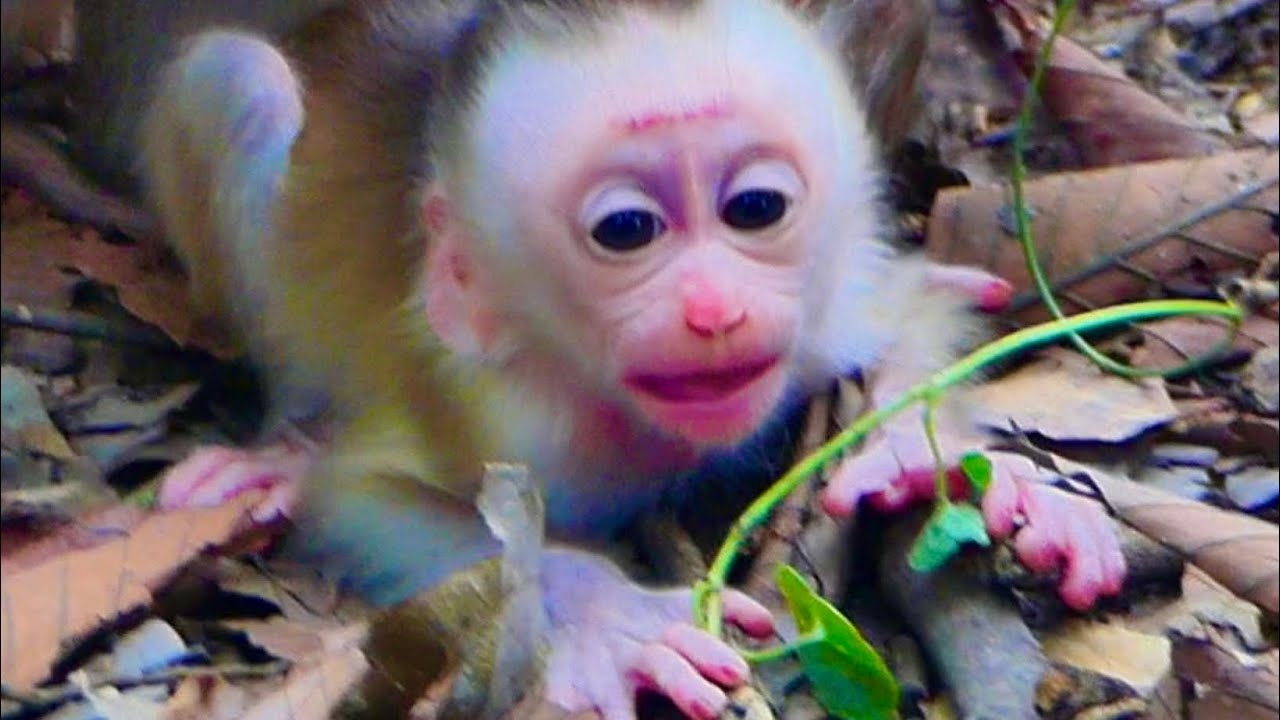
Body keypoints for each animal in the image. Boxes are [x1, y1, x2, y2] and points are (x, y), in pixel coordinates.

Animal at [18, 0, 1127, 717]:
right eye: (625, 230)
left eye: (755, 207)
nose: (714, 309)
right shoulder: (504, 406)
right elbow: (368, 503)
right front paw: (606, 613)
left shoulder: (818, 316)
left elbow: (899, 318)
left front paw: (945, 462)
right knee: (238, 86)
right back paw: (283, 441)